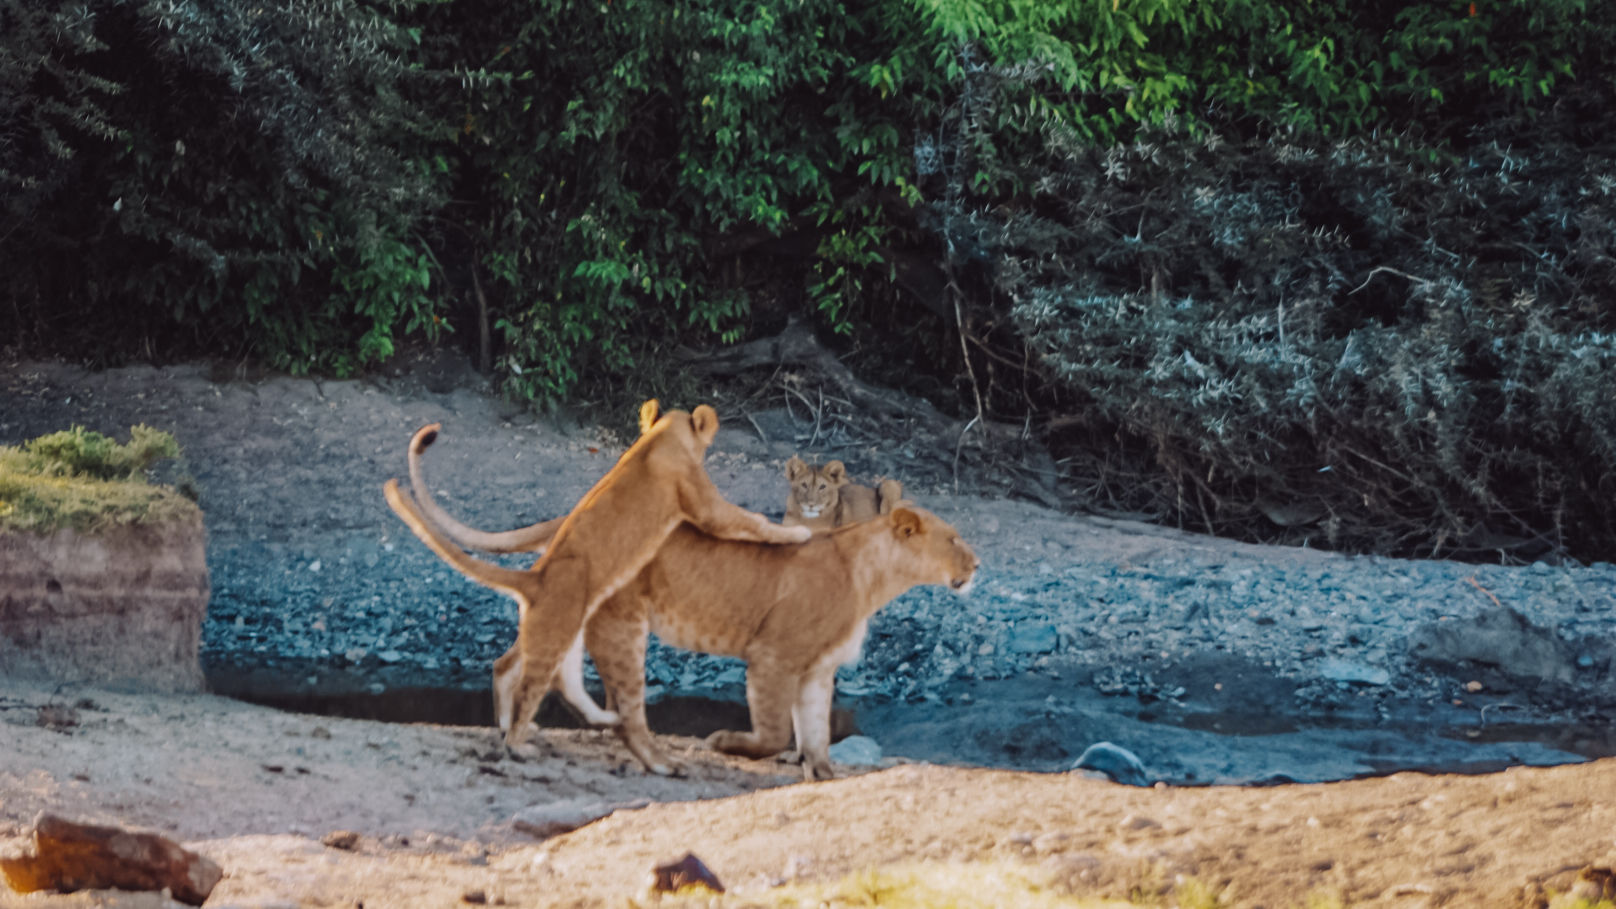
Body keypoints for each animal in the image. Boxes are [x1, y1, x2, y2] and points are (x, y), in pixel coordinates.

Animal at [378, 399, 808, 747]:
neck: (659, 438)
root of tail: (535, 577)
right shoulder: (706, 506)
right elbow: (751, 521)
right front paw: (796, 532)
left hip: (563, 631)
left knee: (518, 669)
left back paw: (549, 723)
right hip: (558, 630)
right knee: (535, 681)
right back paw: (523, 737)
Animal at [400, 427, 982, 776]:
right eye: (954, 539)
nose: (977, 565)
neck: (873, 575)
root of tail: (567, 522)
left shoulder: (818, 670)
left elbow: (815, 733)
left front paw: (822, 776)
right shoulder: (773, 655)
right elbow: (775, 731)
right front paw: (724, 742)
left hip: (569, 613)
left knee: (511, 661)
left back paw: (515, 729)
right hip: (620, 625)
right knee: (623, 707)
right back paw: (648, 758)